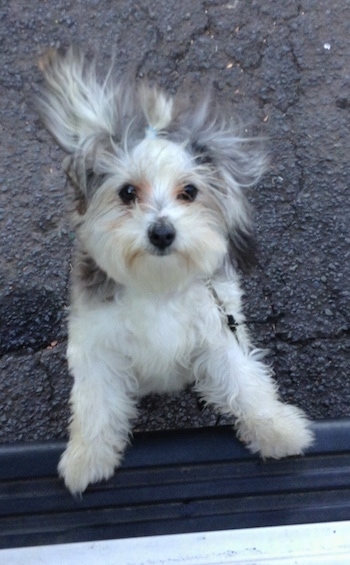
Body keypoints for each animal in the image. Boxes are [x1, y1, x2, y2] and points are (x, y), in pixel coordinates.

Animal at [37, 48, 314, 494]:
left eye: (190, 191)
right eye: (127, 192)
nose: (163, 232)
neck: (157, 284)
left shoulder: (219, 331)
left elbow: (244, 382)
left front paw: (275, 428)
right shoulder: (98, 346)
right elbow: (97, 402)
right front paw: (87, 457)